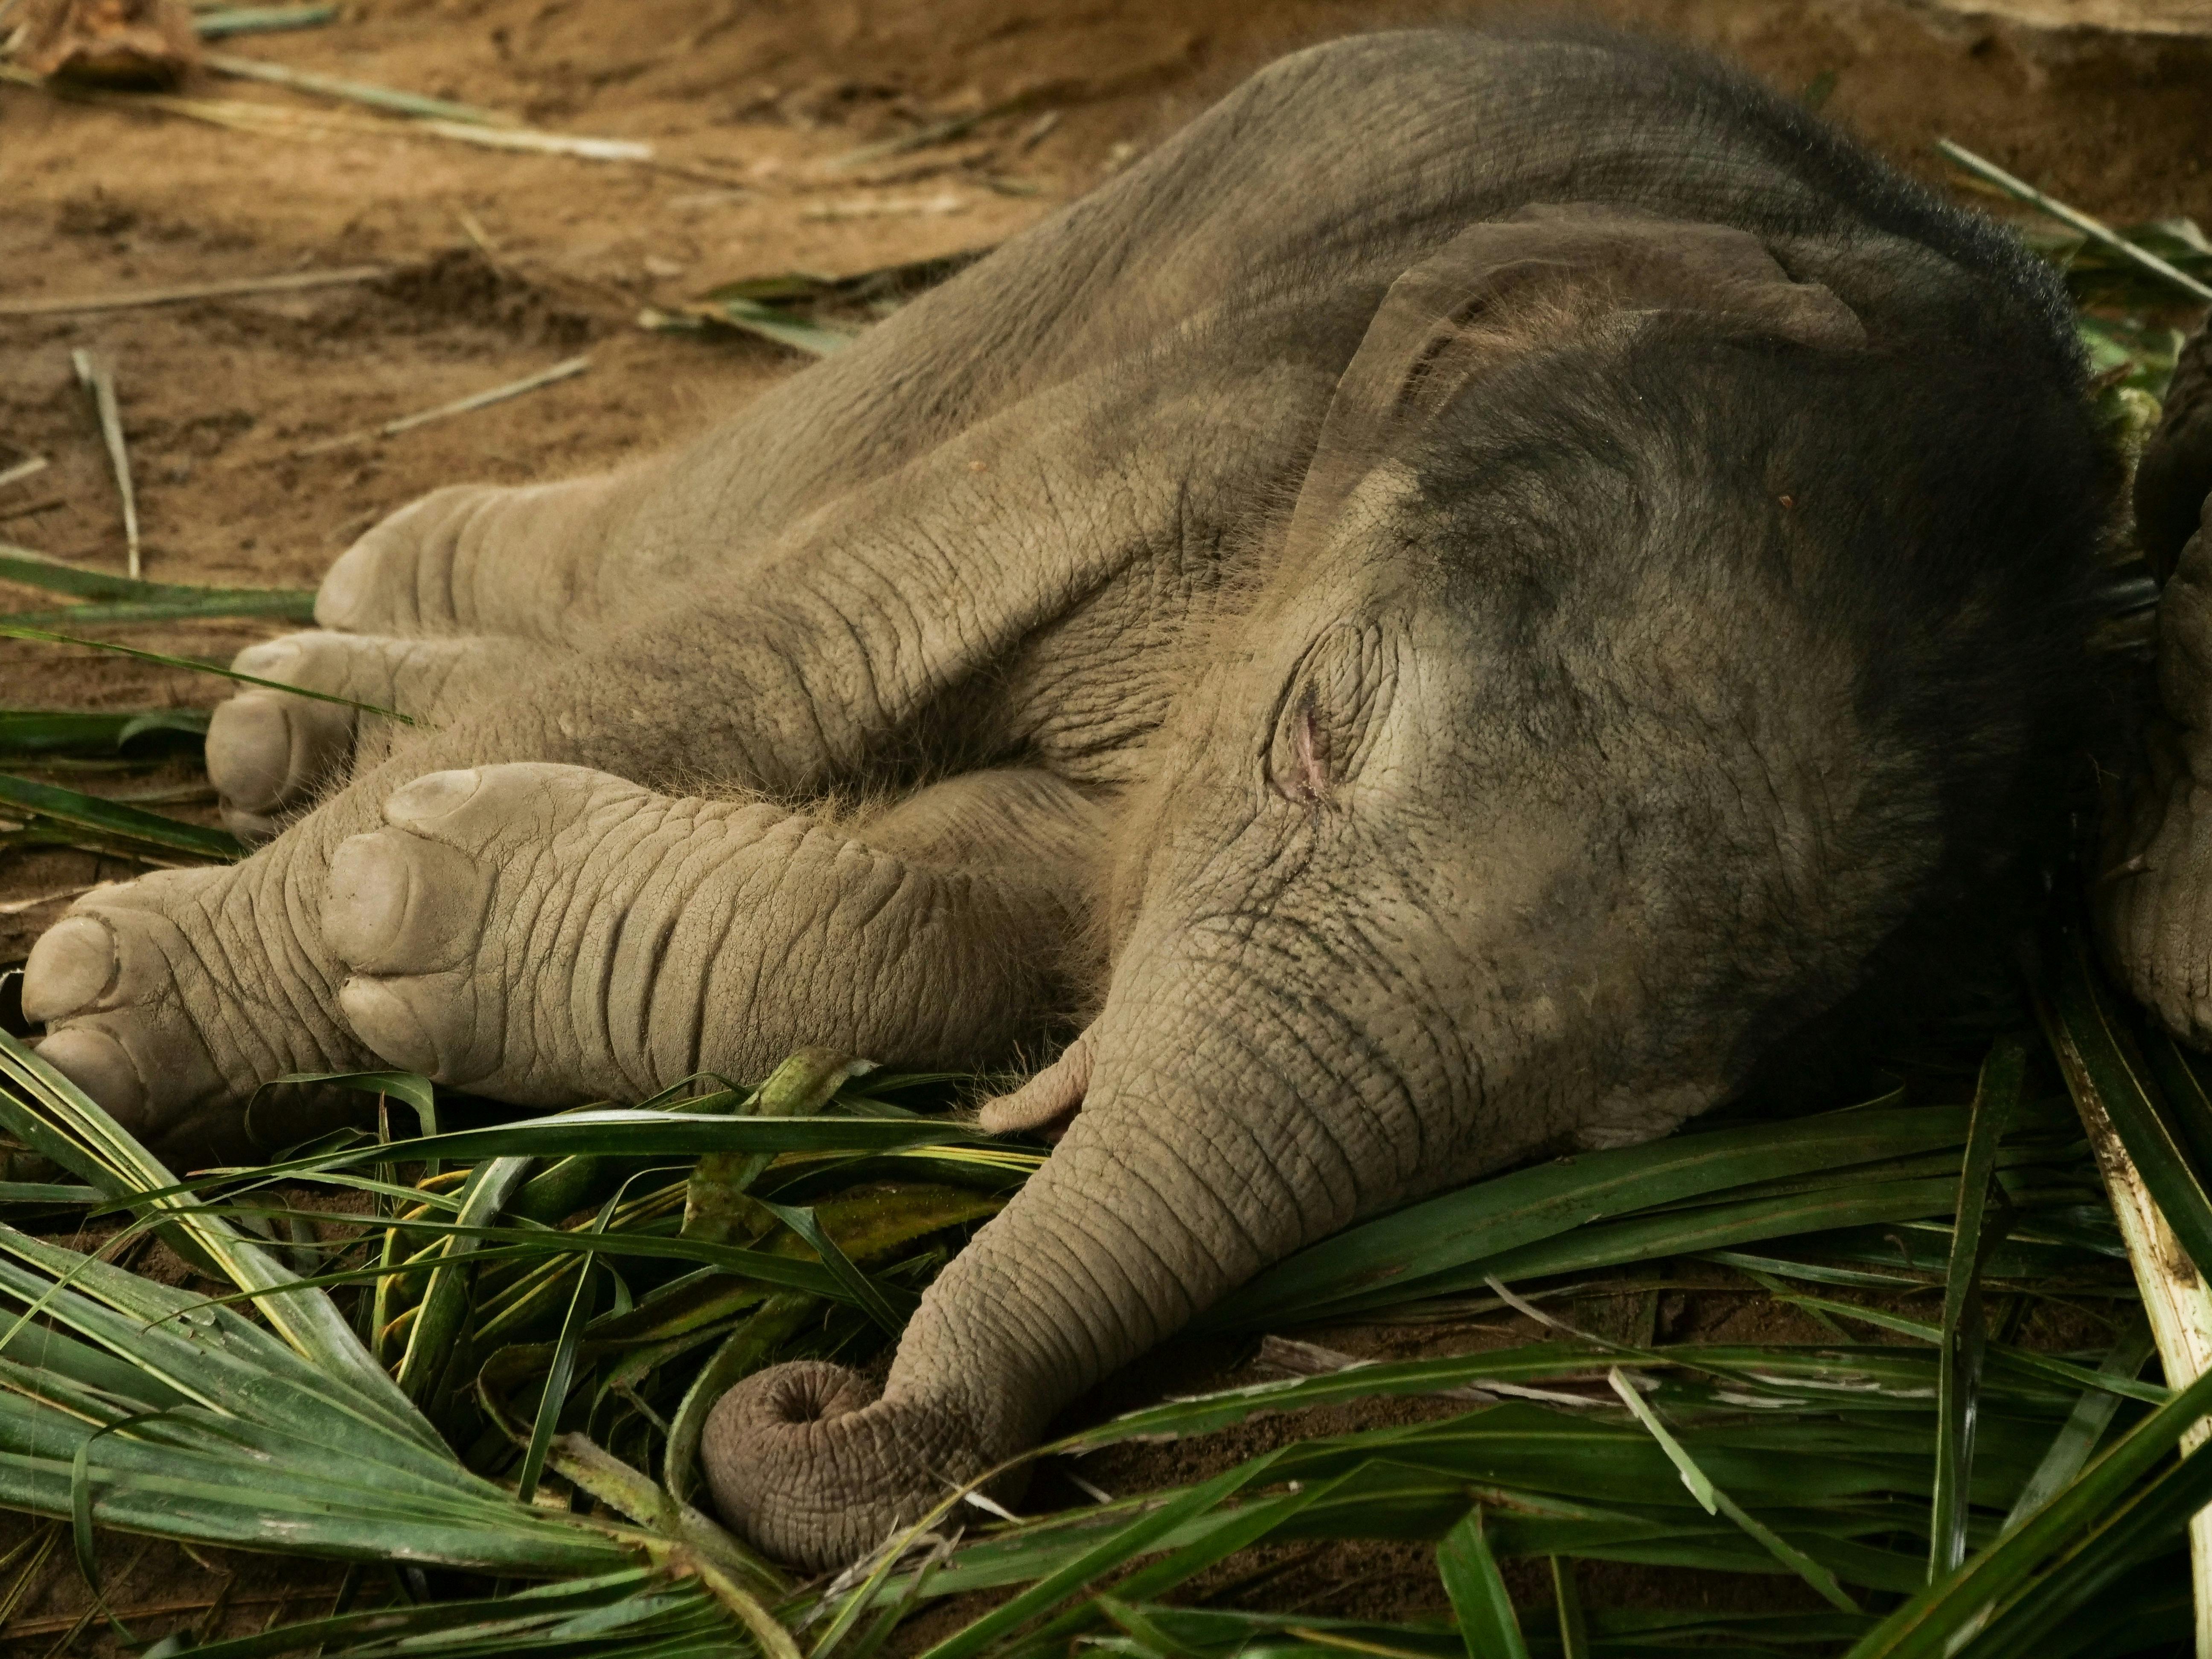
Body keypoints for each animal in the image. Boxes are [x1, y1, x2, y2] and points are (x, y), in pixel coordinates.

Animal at [19, 25, 2139, 1569]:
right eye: (1309, 739)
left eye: (1609, 1131)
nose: (819, 1405)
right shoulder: (1234, 382)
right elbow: (779, 663)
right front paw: (110, 1024)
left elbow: (983, 909)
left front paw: (411, 896)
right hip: (1116, 229)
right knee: (734, 497)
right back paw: (346, 637)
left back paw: (291, 723)